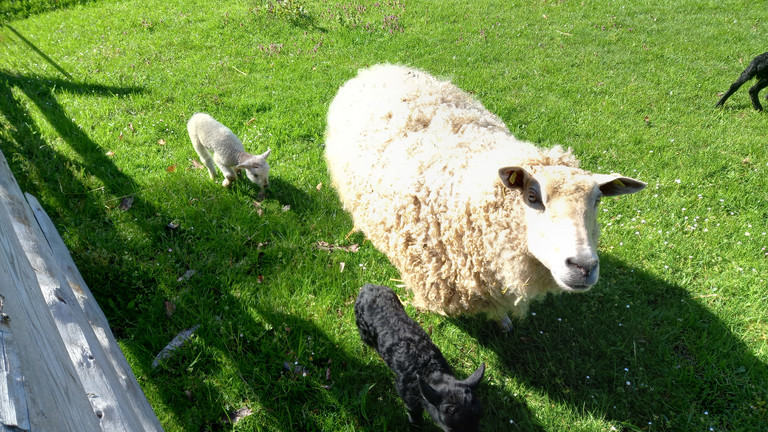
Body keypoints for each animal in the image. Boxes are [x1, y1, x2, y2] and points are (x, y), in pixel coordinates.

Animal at [356, 284, 486, 432]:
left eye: (478, 421)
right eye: (449, 429)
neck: (429, 369)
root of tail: (367, 286)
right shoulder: (407, 395)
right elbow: (414, 415)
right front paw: (416, 426)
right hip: (362, 328)